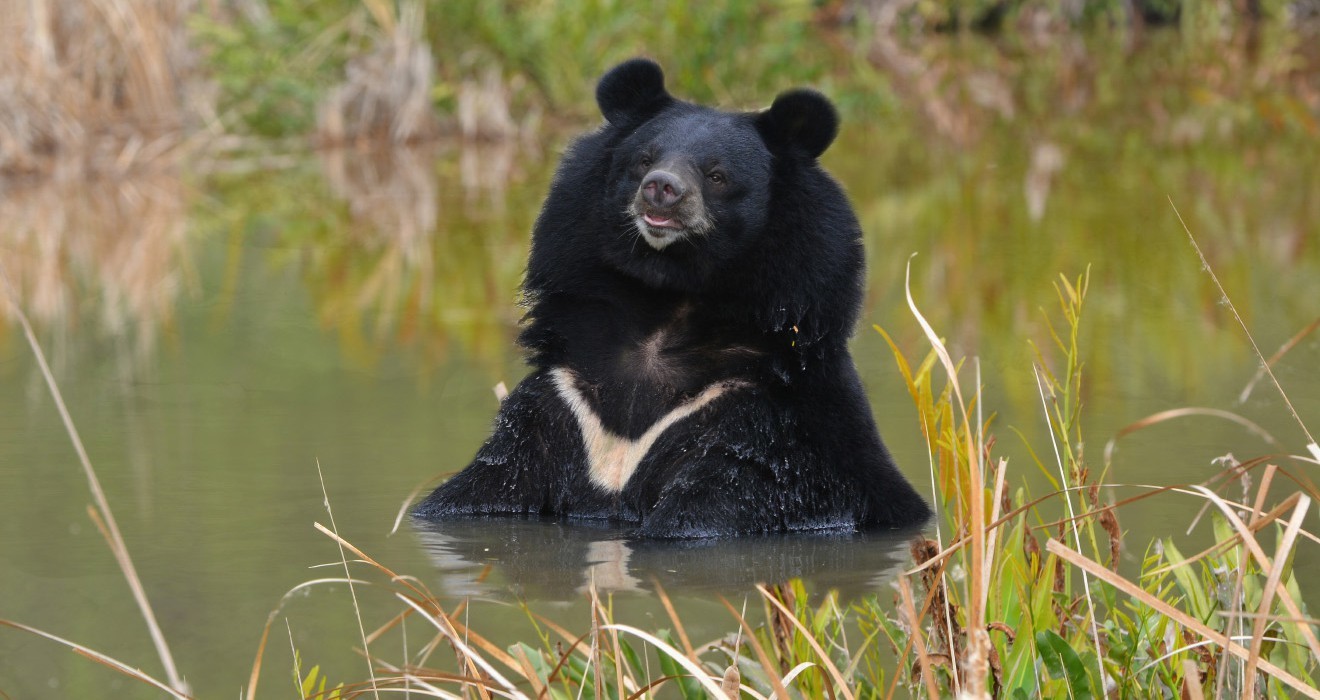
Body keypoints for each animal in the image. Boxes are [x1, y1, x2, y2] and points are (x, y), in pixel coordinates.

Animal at [417, 60, 934, 536]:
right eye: (644, 159)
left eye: (717, 175)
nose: (662, 189)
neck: (670, 296)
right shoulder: (564, 400)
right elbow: (485, 486)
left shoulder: (760, 424)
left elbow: (710, 507)